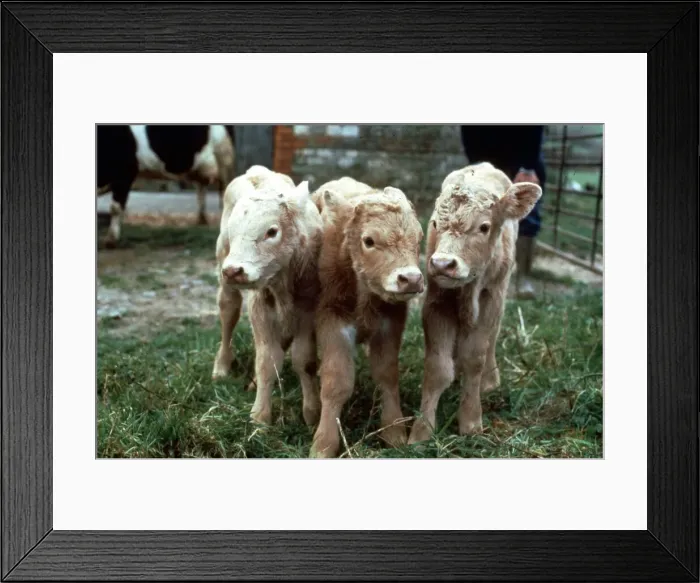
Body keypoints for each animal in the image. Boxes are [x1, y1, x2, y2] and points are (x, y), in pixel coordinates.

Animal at [96, 124, 235, 246]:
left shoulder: (125, 174)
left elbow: (115, 208)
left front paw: (111, 240)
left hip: (224, 159)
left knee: (224, 191)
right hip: (199, 167)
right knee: (201, 188)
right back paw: (201, 220)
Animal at [211, 165, 324, 427]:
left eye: (272, 231)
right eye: (233, 231)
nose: (234, 271)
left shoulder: (309, 311)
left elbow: (304, 359)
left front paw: (312, 413)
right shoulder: (260, 308)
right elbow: (267, 361)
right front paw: (260, 418)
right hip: (225, 273)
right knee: (228, 312)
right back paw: (221, 367)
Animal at [309, 178, 424, 458]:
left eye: (419, 238)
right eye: (369, 240)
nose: (411, 279)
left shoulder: (391, 322)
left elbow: (387, 374)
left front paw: (394, 432)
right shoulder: (331, 320)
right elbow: (336, 381)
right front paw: (323, 444)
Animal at [408, 162, 542, 444]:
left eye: (484, 227)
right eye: (434, 223)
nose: (442, 264)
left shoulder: (490, 299)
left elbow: (475, 358)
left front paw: (470, 422)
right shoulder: (437, 301)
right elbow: (437, 367)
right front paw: (422, 430)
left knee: (492, 339)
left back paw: (490, 380)